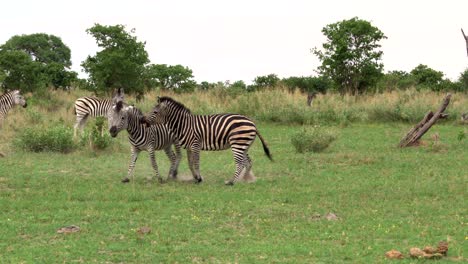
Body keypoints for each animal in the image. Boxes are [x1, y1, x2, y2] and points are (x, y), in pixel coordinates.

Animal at [142, 96, 274, 185]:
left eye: (155, 112)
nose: (143, 121)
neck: (184, 125)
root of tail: (252, 123)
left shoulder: (195, 145)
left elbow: (196, 163)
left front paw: (199, 178)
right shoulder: (189, 147)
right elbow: (190, 163)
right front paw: (195, 178)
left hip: (237, 144)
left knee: (240, 163)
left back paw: (231, 182)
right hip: (244, 145)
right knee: (248, 162)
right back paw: (245, 179)